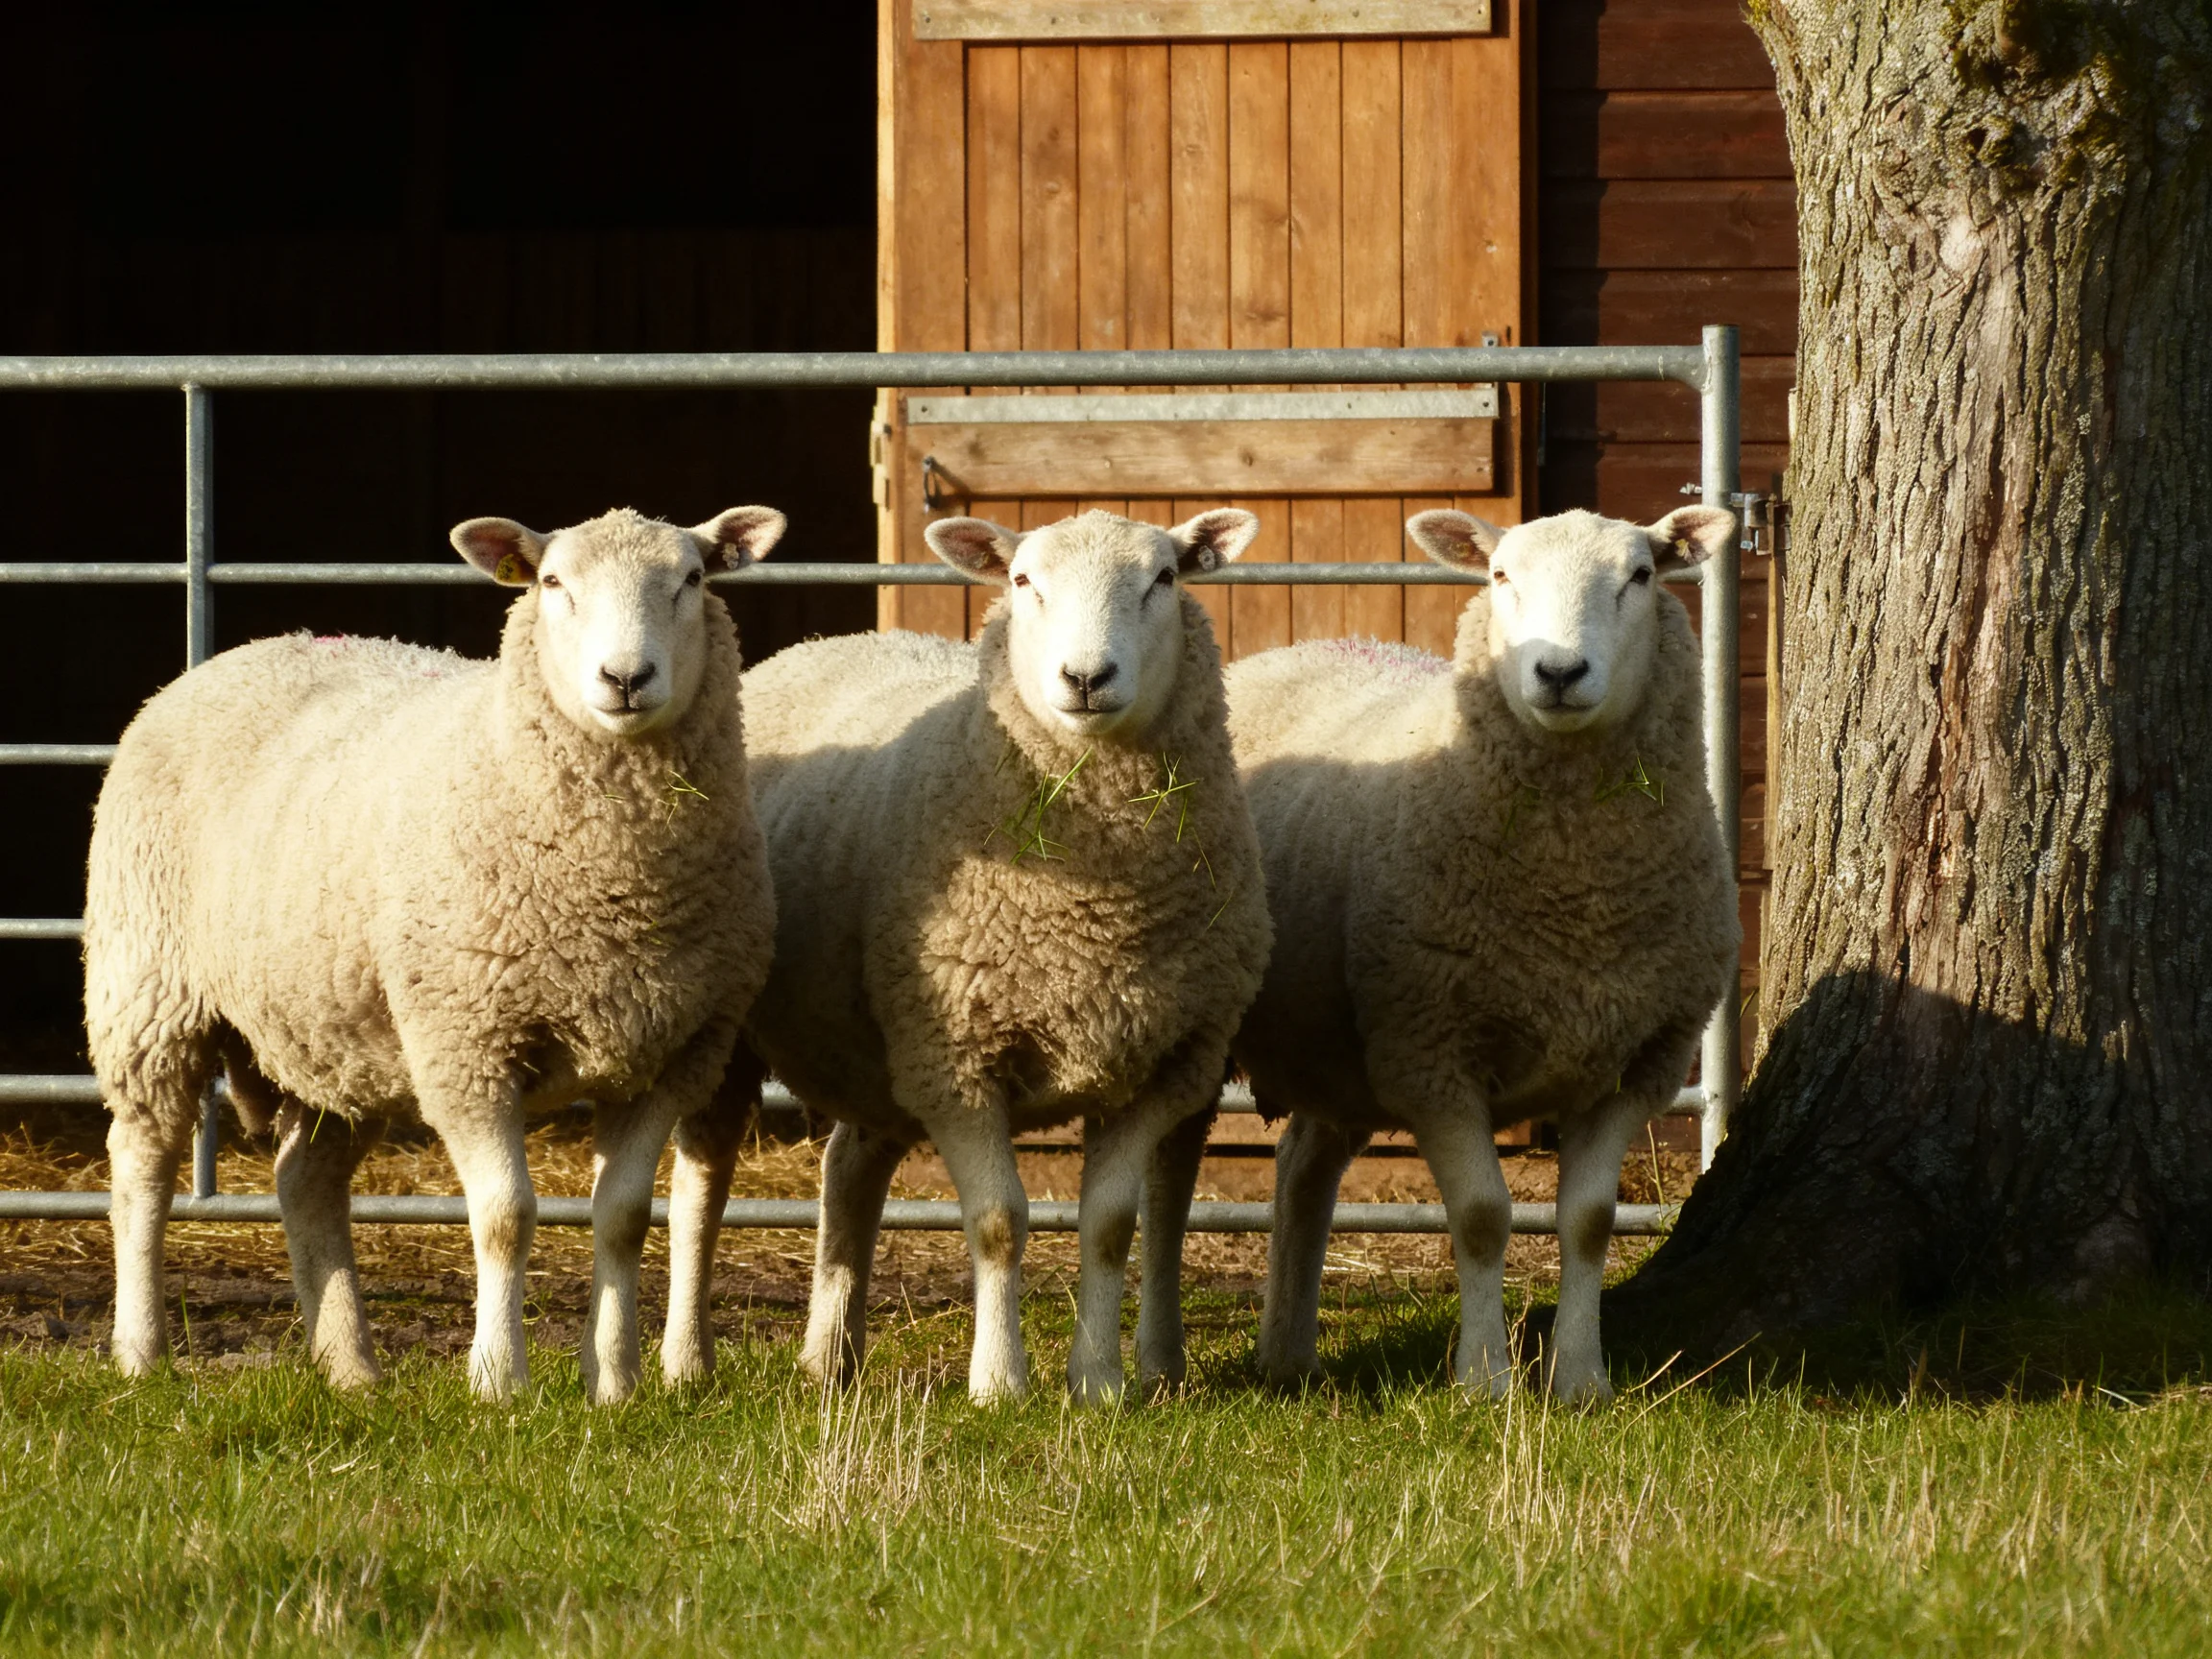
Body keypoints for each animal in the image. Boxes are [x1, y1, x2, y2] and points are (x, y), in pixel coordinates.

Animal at [82, 505, 785, 1404]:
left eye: (691, 580)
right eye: (553, 582)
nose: (625, 678)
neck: (616, 888)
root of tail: (249, 649)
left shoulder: (669, 1054)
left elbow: (624, 1220)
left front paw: (615, 1384)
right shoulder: (466, 1044)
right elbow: (506, 1217)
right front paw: (498, 1380)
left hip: (335, 1033)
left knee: (305, 1180)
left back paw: (350, 1366)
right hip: (148, 988)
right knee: (143, 1164)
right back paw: (141, 1352)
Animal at [661, 508, 1273, 1405]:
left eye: (1163, 578)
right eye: (1022, 581)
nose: (1085, 677)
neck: (1099, 911)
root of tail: (825, 639)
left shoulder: (1155, 1066)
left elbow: (1109, 1227)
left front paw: (1098, 1383)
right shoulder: (957, 1058)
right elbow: (997, 1224)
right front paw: (999, 1382)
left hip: (875, 1047)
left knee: (848, 1170)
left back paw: (830, 1357)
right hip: (739, 1028)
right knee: (700, 1188)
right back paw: (684, 1362)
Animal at [1147, 505, 1740, 1402]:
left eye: (1639, 575)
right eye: (1499, 575)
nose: (1560, 672)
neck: (1578, 902)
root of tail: (1301, 647)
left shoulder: (1636, 1063)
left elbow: (1590, 1224)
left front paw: (1580, 1380)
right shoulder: (1433, 1051)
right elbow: (1484, 1217)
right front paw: (1486, 1380)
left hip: (1335, 1042)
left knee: (1302, 1168)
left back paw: (1288, 1355)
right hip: (1218, 1015)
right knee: (1172, 1174)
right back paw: (1160, 1360)